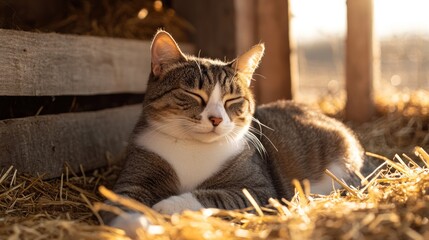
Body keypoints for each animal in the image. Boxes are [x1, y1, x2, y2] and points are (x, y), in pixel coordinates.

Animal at [103, 30, 362, 234]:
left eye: (232, 99)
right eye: (194, 94)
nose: (216, 119)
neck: (193, 147)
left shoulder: (260, 191)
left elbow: (215, 196)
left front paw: (168, 205)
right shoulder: (139, 169)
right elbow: (123, 197)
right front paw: (131, 224)